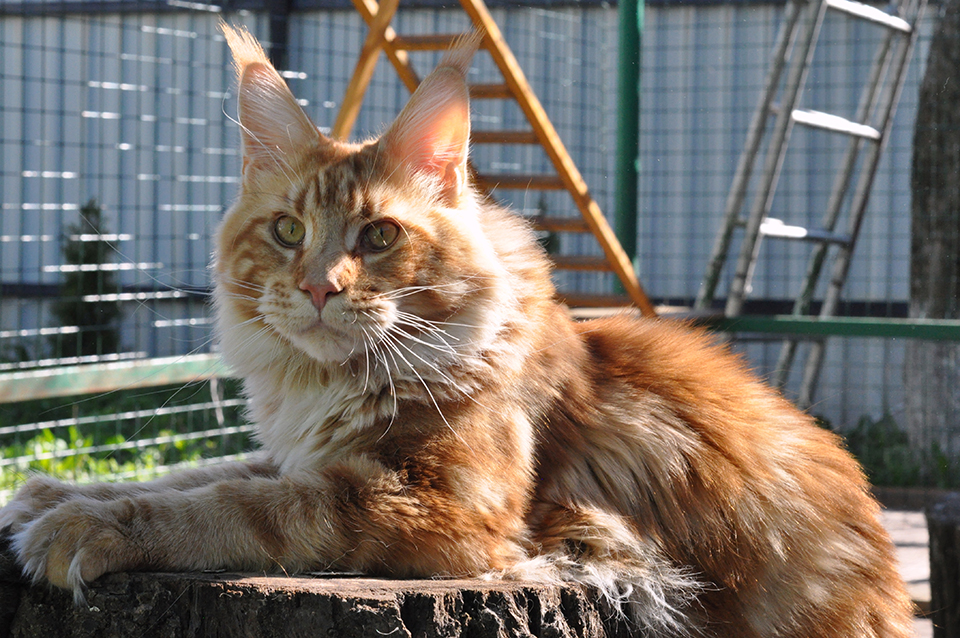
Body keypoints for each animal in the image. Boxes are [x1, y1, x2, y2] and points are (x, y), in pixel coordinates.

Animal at [0, 22, 916, 636]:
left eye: (378, 236)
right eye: (289, 231)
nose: (318, 287)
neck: (328, 383)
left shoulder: (439, 508)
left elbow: (235, 506)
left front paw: (89, 528)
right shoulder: (308, 450)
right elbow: (197, 471)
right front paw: (53, 494)